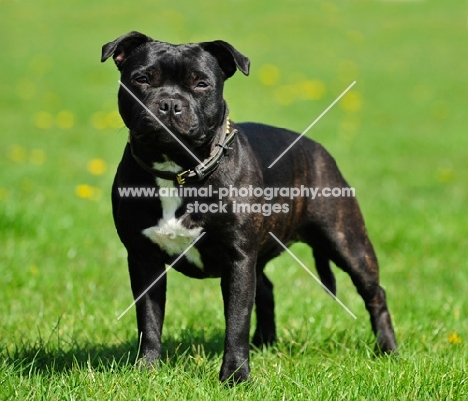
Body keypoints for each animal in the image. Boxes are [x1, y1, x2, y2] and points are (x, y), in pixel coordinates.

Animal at [100, 31, 396, 382]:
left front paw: (235, 376)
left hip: (347, 241)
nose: (170, 104)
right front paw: (147, 369)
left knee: (374, 293)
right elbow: (149, 319)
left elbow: (237, 321)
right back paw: (265, 343)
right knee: (265, 290)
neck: (178, 171)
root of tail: (317, 149)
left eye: (201, 84)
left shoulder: (238, 259)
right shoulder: (144, 260)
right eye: (142, 79)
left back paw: (388, 350)